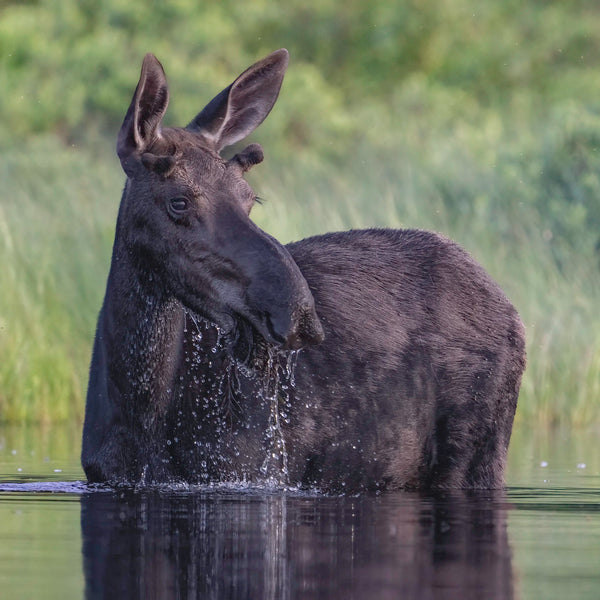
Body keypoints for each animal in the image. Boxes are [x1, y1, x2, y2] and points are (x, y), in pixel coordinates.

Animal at [81, 49, 524, 492]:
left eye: (250, 198)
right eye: (178, 202)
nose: (298, 313)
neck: (140, 409)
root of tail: (510, 309)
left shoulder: (254, 473)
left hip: (478, 456)